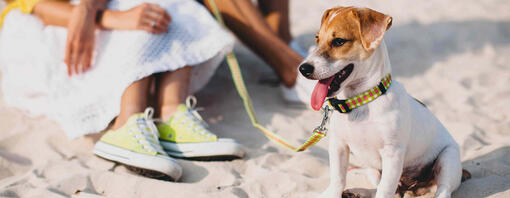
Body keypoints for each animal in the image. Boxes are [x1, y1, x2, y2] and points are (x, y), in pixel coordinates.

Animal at [298, 6, 470, 198]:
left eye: (339, 41)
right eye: (317, 38)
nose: (303, 69)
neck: (361, 102)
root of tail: (412, 186)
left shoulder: (392, 154)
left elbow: (385, 189)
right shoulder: (338, 145)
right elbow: (338, 179)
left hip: (448, 159)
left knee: (442, 189)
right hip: (372, 170)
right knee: (387, 189)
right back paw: (358, 192)